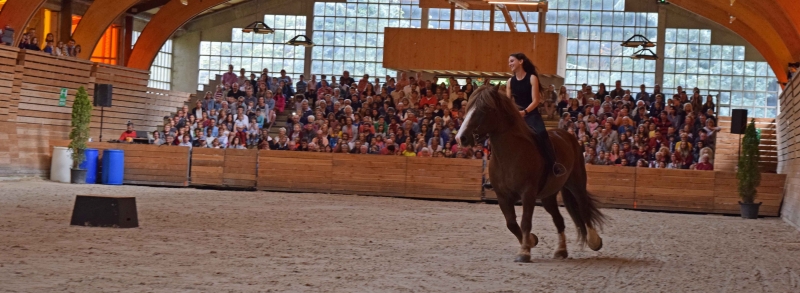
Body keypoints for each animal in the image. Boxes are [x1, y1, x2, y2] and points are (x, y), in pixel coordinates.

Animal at [454, 85, 604, 262]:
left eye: (485, 109)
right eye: (469, 107)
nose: (461, 138)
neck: (511, 154)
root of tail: (568, 135)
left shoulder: (528, 193)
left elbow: (525, 221)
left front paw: (524, 252)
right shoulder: (502, 196)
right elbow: (511, 223)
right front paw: (531, 240)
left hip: (576, 184)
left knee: (583, 207)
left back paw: (594, 241)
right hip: (548, 196)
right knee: (559, 220)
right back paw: (561, 251)